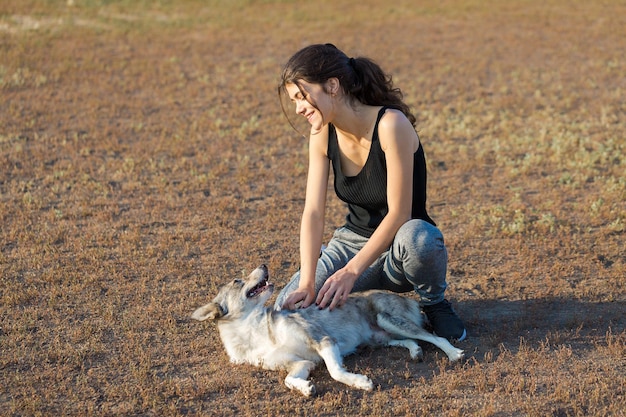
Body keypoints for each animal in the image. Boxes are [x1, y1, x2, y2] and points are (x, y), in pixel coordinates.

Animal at [190, 264, 464, 394]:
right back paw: (415, 352)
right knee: (409, 341)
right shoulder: (301, 364)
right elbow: (289, 380)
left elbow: (335, 372)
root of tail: (409, 300)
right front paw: (306, 389)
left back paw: (453, 353)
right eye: (237, 280)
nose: (264, 264)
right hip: (378, 337)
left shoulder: (323, 340)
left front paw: (360, 382)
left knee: (433, 336)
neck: (258, 332)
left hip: (389, 320)